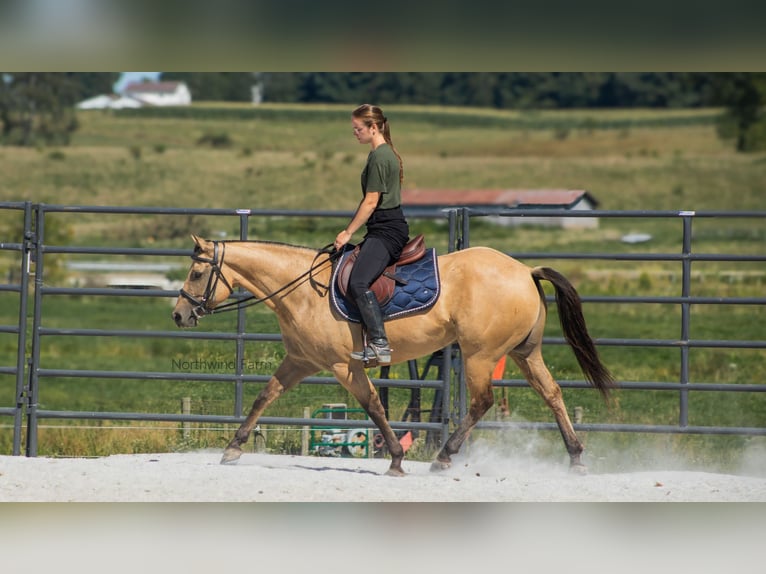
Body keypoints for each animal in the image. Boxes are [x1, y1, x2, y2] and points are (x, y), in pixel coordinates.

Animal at [174, 236, 616, 480]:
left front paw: (397, 459)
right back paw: (576, 458)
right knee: (552, 393)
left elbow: (372, 404)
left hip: (480, 355)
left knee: (482, 401)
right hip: (525, 354)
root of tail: (524, 271)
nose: (179, 315)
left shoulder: (344, 366)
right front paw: (233, 448)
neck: (302, 289)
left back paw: (443, 457)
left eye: (196, 274)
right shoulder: (300, 360)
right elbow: (264, 396)